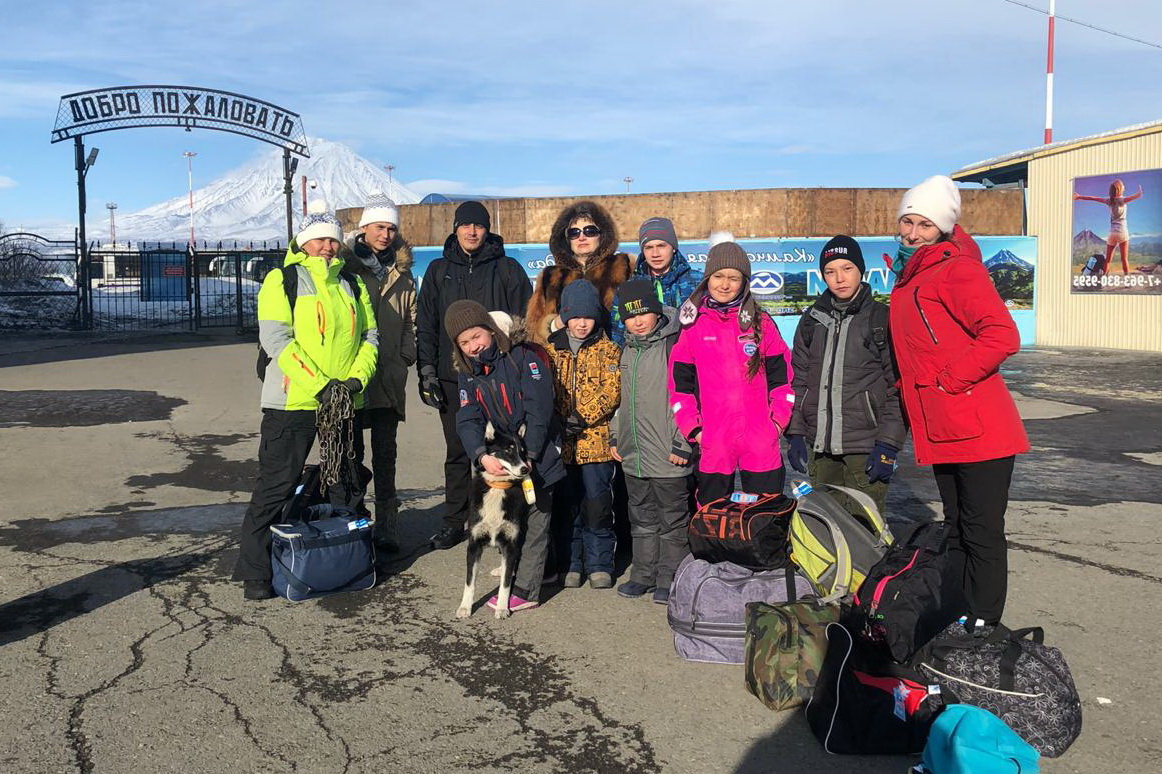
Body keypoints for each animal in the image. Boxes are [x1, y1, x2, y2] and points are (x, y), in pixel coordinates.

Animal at [453, 423, 532, 613]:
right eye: (508, 450)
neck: (498, 487)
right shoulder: (474, 544)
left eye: (523, 452)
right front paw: (465, 607)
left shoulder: (511, 542)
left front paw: (502, 608)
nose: (525, 468)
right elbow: (470, 582)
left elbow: (505, 584)